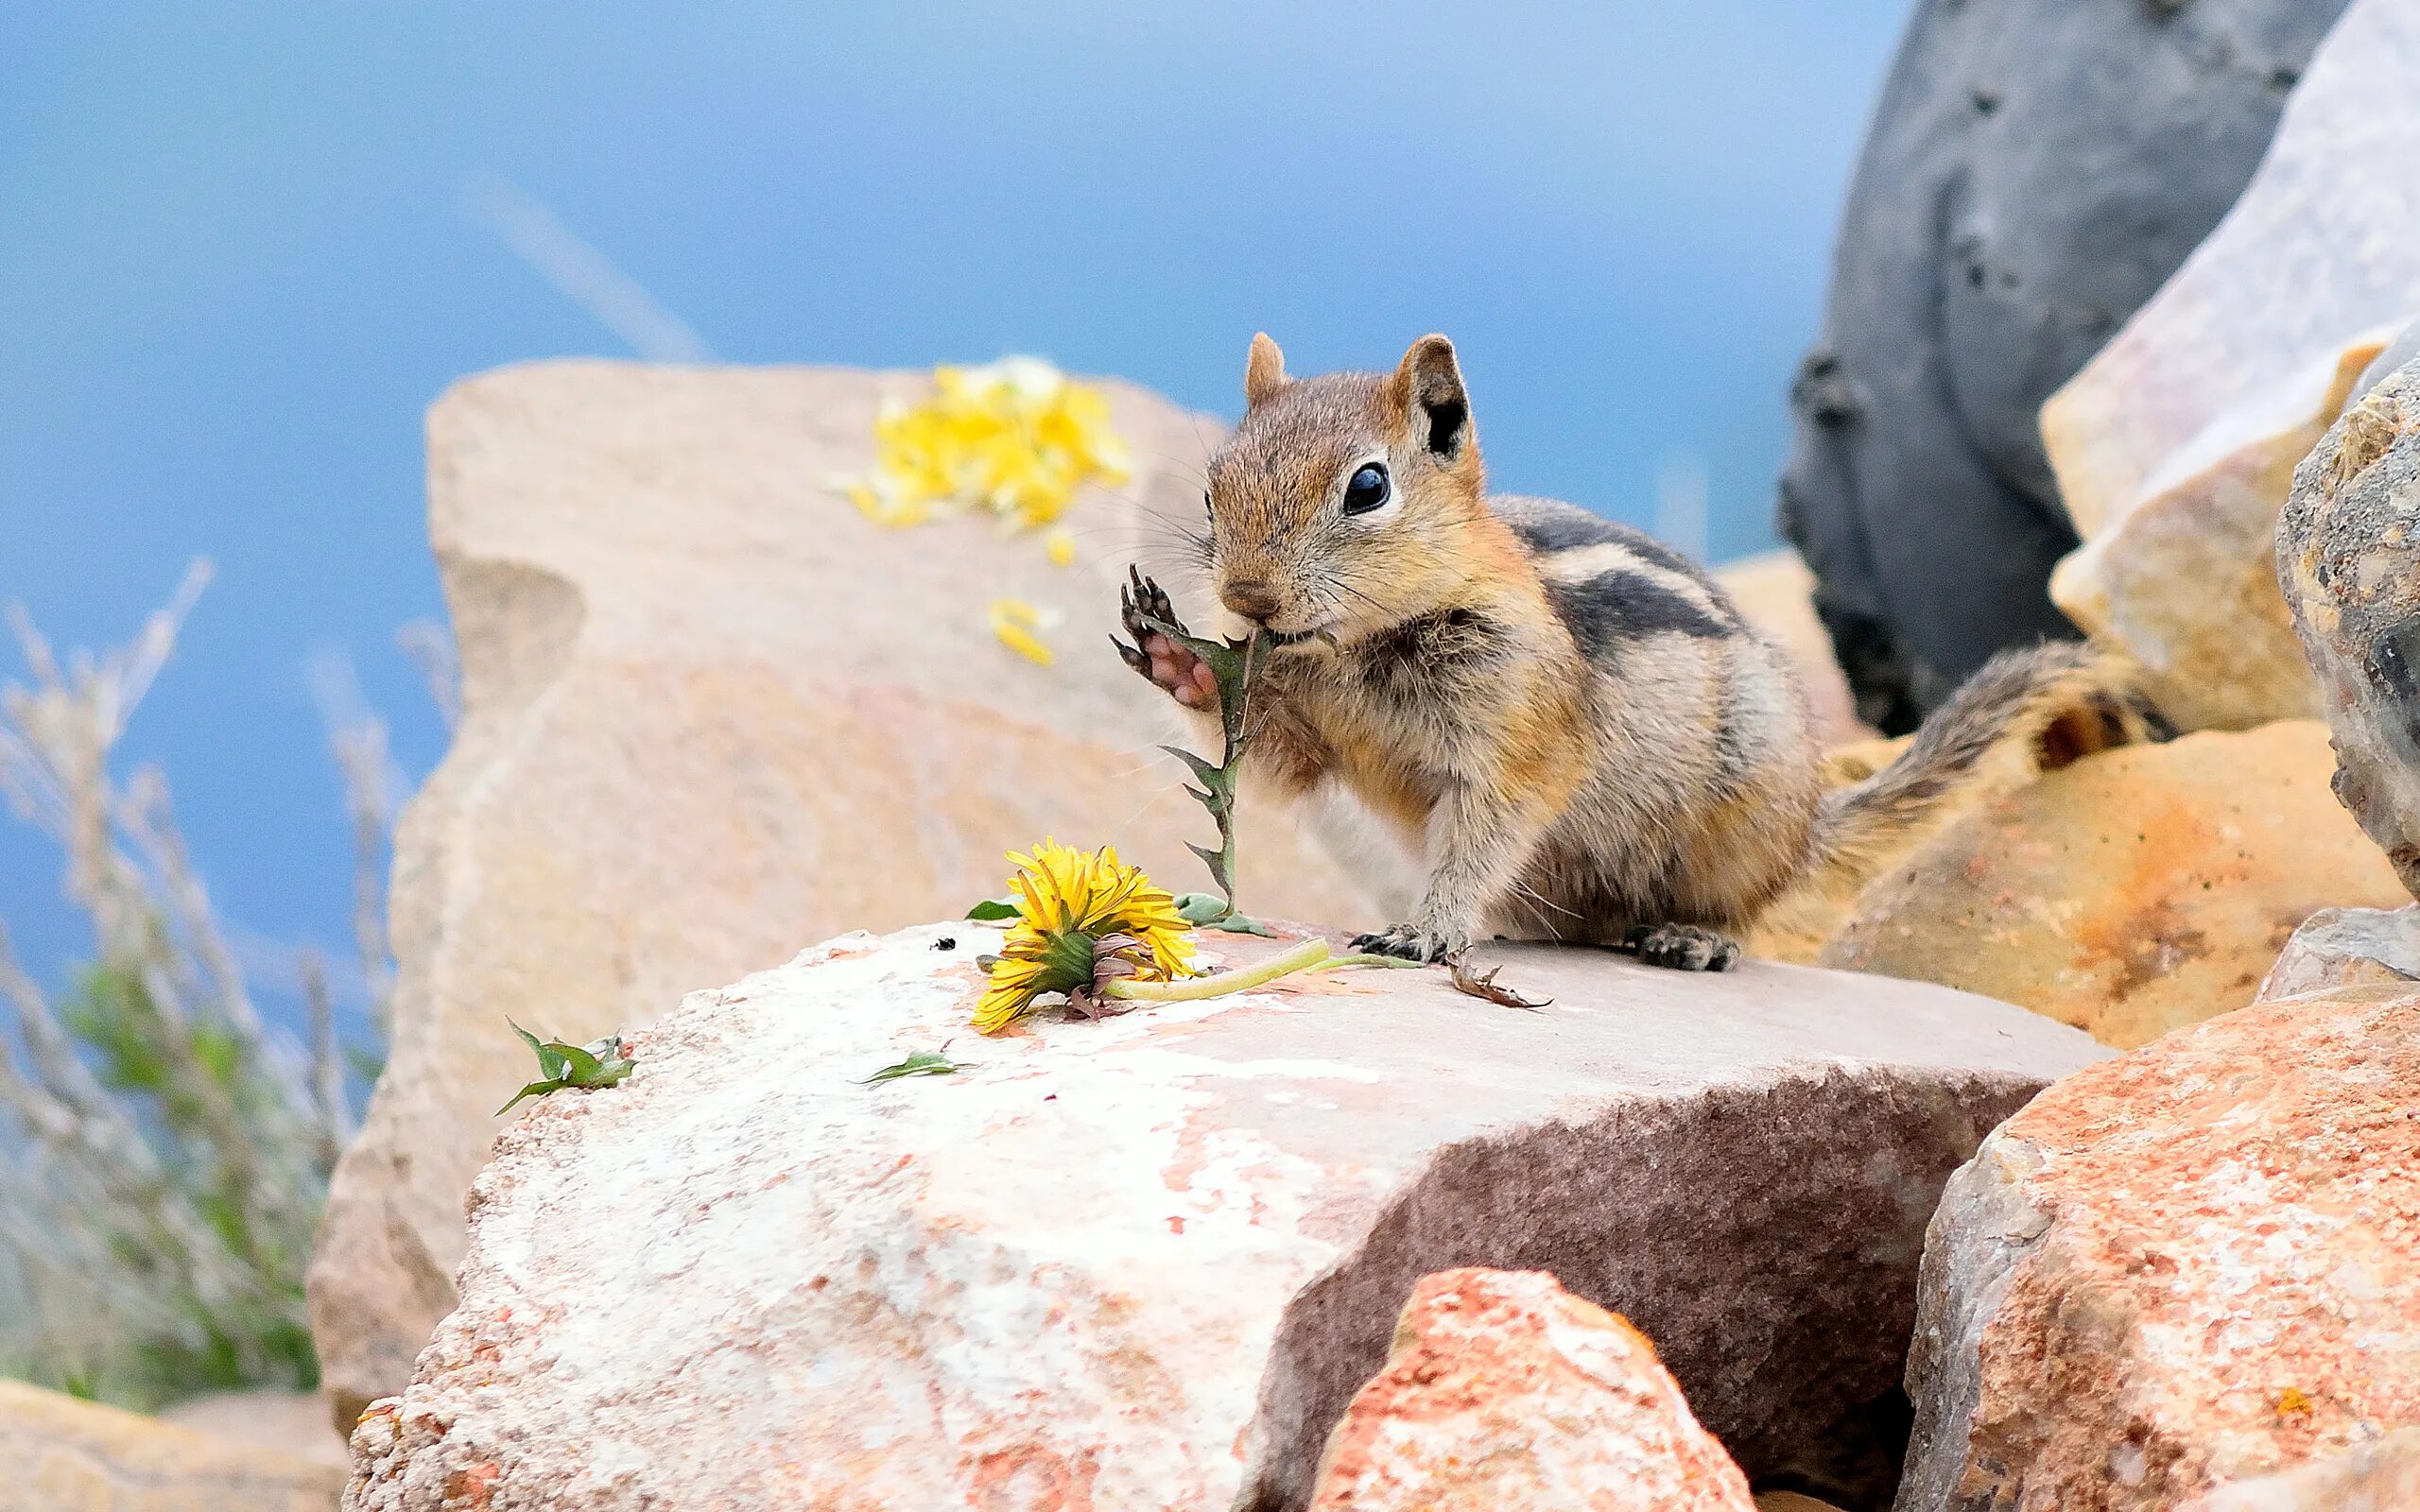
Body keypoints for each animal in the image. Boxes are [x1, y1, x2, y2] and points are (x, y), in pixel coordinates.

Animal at [1113, 334, 2158, 968]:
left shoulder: (1521, 739)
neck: (1362, 648)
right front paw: (1175, 657)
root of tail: (1810, 824)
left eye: (1367, 488)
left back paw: (1691, 938)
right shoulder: (1310, 724)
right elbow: (1278, 762)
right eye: (1211, 489)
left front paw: (1428, 929)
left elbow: (1485, 834)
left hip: (1741, 817)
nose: (1247, 598)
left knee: (1745, 910)